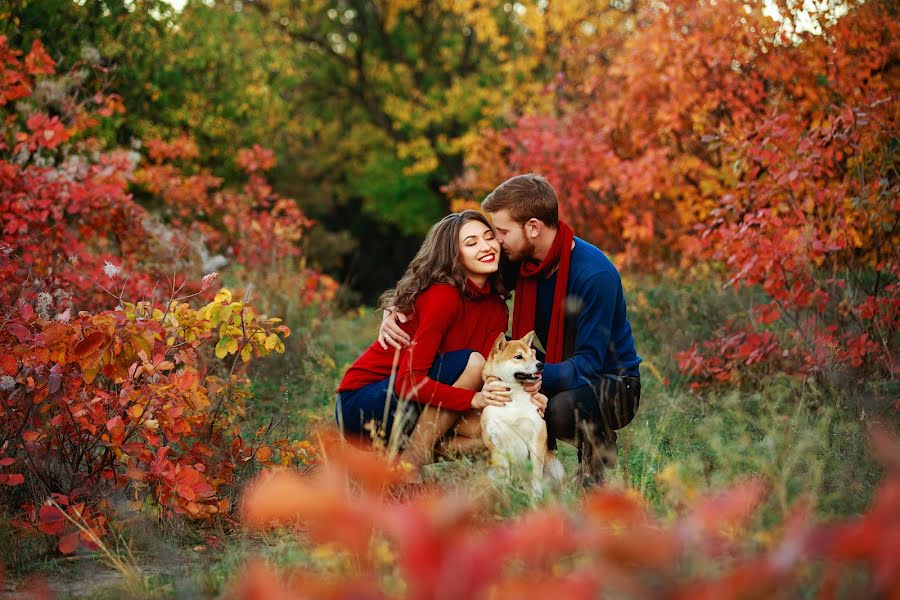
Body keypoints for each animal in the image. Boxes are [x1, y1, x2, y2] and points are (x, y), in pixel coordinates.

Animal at [482, 330, 560, 494]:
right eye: (518, 357)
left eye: (532, 355)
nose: (541, 365)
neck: (514, 397)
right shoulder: (497, 445)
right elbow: (504, 476)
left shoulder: (536, 438)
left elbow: (536, 477)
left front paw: (536, 498)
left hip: (556, 468)